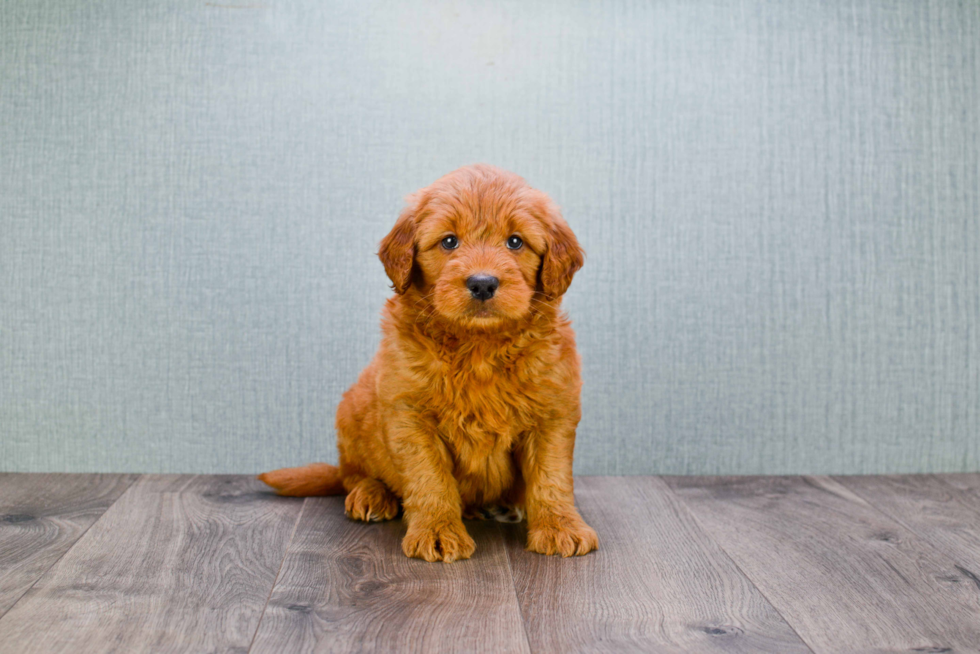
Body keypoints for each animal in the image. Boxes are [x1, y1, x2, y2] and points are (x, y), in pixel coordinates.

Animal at [258, 165, 596, 564]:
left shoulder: (552, 412)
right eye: (449, 242)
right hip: (351, 414)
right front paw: (436, 531)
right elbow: (429, 478)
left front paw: (561, 527)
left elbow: (551, 477)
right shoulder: (410, 415)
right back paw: (372, 494)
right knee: (351, 475)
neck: (479, 346)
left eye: (515, 242)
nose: (483, 283)